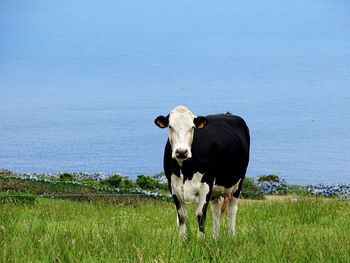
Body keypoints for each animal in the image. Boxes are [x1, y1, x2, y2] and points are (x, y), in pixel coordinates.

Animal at [154, 106, 250, 238]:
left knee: (232, 210)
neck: (184, 170)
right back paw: (216, 238)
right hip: (216, 190)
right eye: (170, 126)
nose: (181, 151)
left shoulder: (206, 184)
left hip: (238, 183)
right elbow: (182, 216)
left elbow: (200, 214)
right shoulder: (173, 186)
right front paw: (181, 239)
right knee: (216, 210)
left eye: (192, 127)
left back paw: (231, 236)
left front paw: (200, 239)